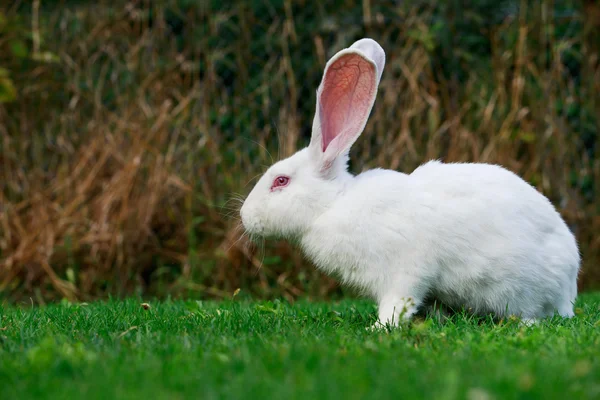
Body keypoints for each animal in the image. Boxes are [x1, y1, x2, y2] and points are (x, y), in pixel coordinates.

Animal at [239, 37, 580, 326]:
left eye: (281, 181)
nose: (244, 216)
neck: (333, 204)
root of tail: (568, 285)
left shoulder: (402, 272)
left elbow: (397, 304)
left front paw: (378, 328)